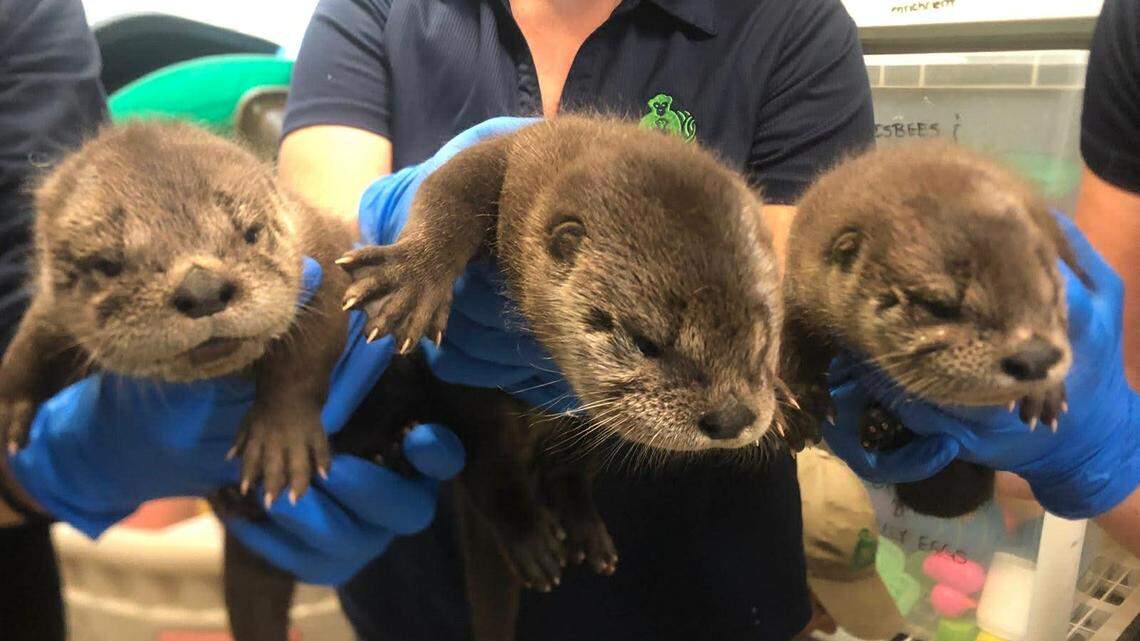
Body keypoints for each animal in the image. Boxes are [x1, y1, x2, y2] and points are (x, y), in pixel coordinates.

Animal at [337, 114, 785, 641]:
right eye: (646, 342)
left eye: (763, 337)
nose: (732, 417)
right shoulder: (505, 157)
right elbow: (448, 190)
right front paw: (409, 277)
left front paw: (787, 399)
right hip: (472, 415)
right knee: (487, 474)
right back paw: (523, 536)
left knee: (564, 472)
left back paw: (586, 533)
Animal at [781, 139, 1088, 518]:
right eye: (938, 305)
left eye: (1054, 295)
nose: (1035, 356)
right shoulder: (803, 279)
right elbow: (793, 341)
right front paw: (797, 405)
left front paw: (1045, 394)